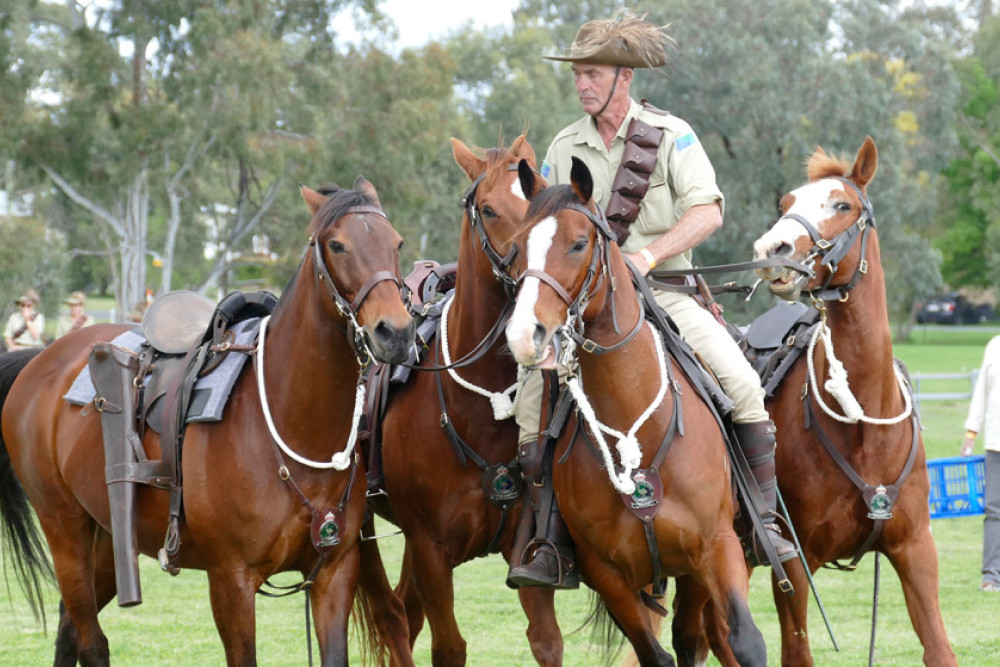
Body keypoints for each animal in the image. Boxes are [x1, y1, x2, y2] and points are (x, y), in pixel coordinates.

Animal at [0, 179, 416, 667]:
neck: (291, 425)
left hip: (105, 537)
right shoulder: (231, 581)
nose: (396, 332)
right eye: (337, 245)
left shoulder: (335, 573)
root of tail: (39, 360)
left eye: (396, 243)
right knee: (89, 640)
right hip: (65, 531)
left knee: (69, 633)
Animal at [368, 137, 568, 667]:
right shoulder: (430, 549)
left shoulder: (524, 544)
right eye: (489, 209)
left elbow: (546, 640)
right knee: (395, 621)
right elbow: (449, 646)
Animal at [508, 158, 764, 667]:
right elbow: (654, 655)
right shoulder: (608, 574)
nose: (525, 334)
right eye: (518, 245)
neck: (634, 425)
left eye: (578, 243)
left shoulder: (717, 546)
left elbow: (745, 641)